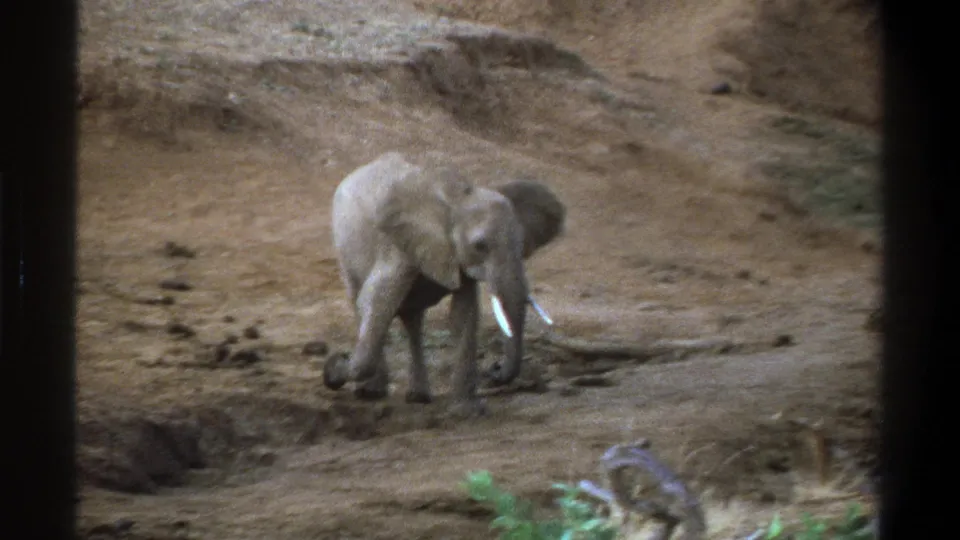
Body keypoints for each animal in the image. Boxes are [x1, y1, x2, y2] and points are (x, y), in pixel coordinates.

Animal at [322, 151, 566, 416]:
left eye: (521, 244)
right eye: (480, 246)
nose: (494, 368)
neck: (458, 199)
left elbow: (463, 316)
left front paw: (468, 411)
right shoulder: (399, 244)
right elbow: (375, 300)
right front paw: (334, 368)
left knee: (412, 319)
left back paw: (418, 397)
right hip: (343, 245)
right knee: (361, 300)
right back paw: (372, 392)